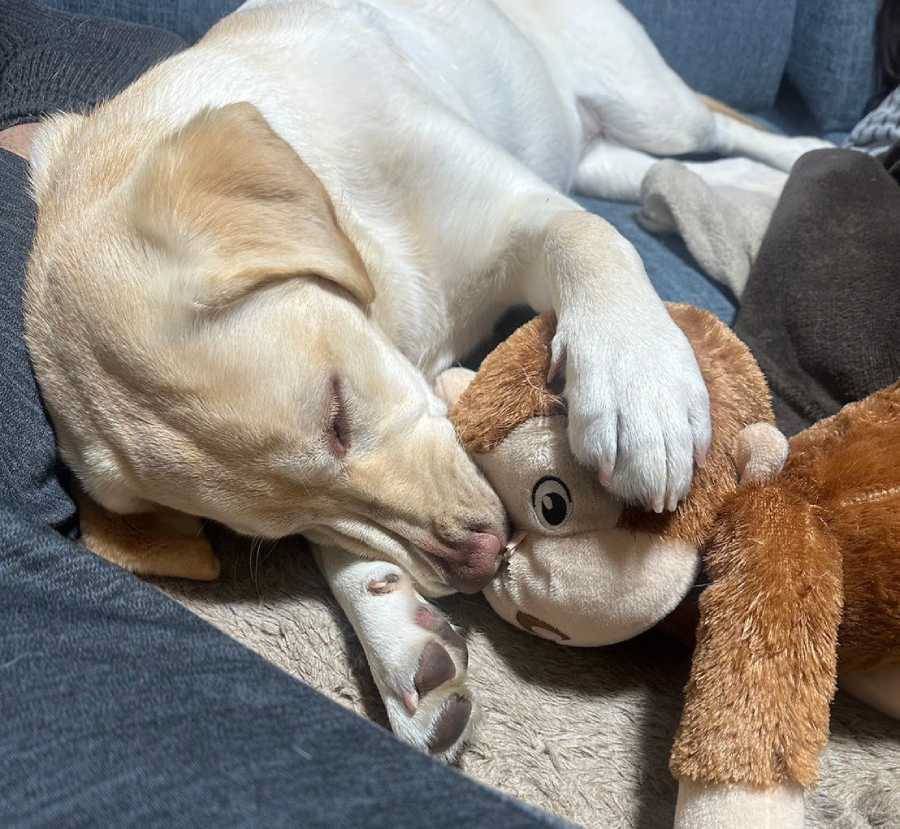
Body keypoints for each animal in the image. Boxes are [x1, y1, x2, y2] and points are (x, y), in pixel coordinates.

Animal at [26, 0, 828, 816]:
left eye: (338, 413)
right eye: (276, 530)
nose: (478, 566)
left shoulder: (521, 208)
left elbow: (589, 236)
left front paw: (640, 379)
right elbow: (351, 551)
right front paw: (398, 641)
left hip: (644, 100)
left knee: (724, 129)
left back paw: (811, 152)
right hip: (606, 155)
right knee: (680, 174)